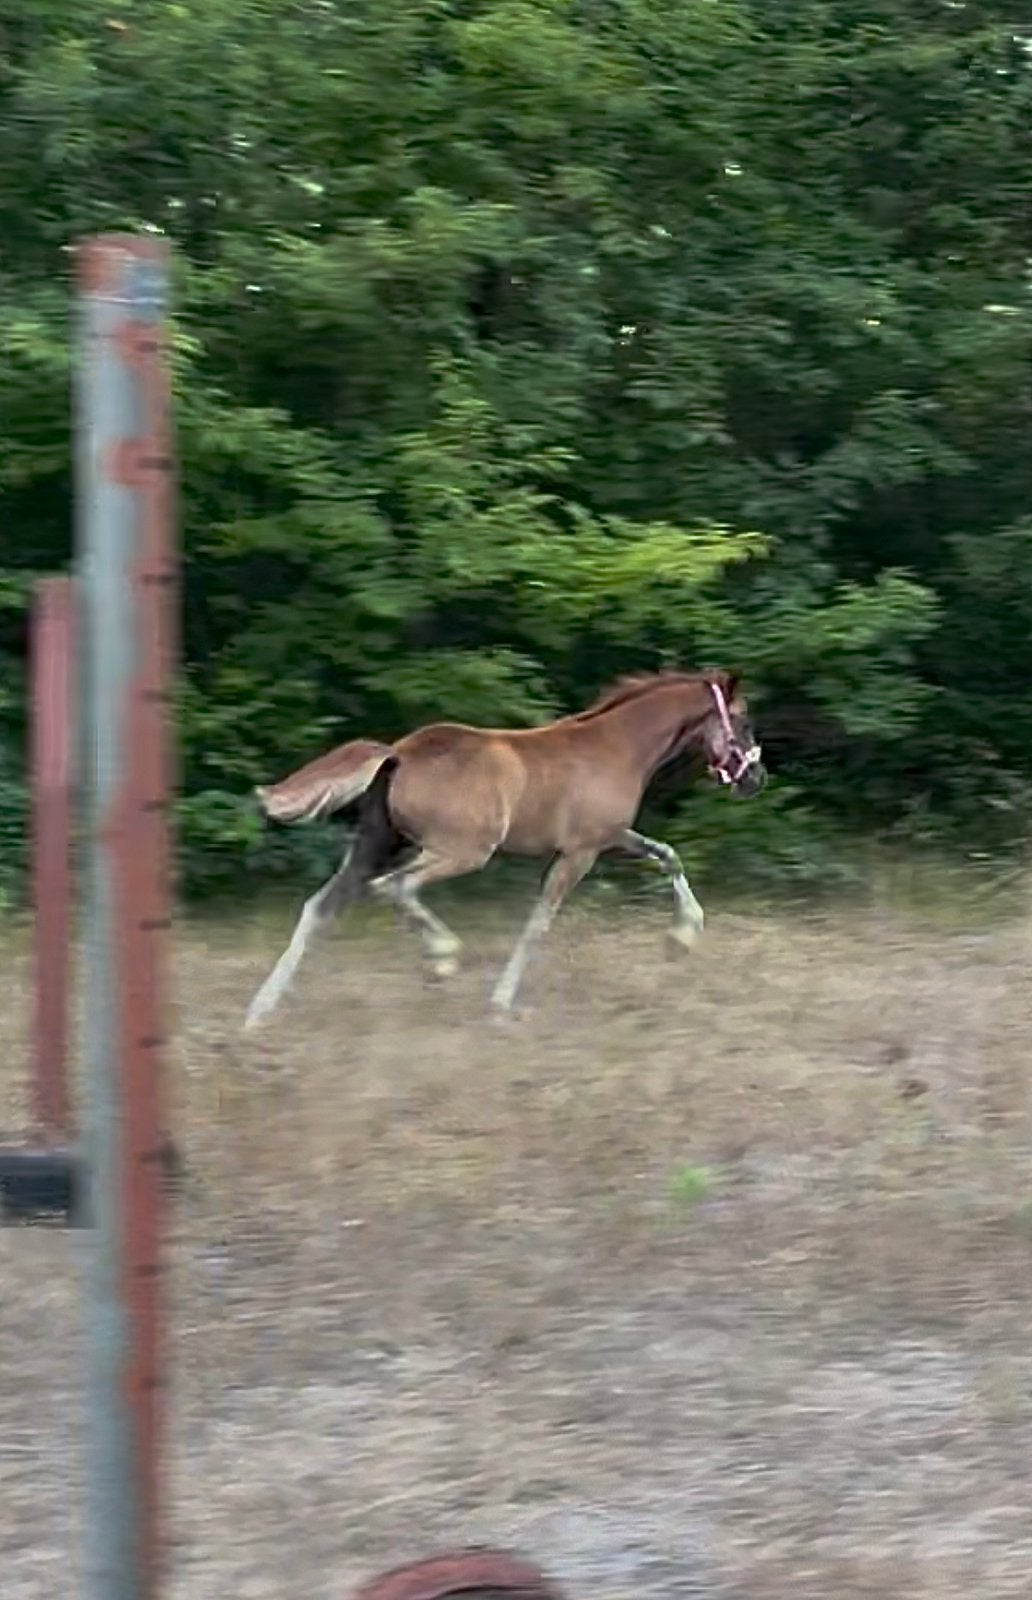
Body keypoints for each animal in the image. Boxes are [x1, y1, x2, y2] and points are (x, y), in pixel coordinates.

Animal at [243, 668, 764, 1026]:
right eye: (743, 722)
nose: (756, 779)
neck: (615, 747)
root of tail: (398, 754)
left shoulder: (612, 839)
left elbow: (668, 855)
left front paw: (682, 937)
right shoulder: (580, 852)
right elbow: (538, 924)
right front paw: (500, 1003)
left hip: (378, 845)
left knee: (319, 908)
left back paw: (259, 1012)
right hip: (462, 851)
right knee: (396, 888)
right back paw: (443, 957)